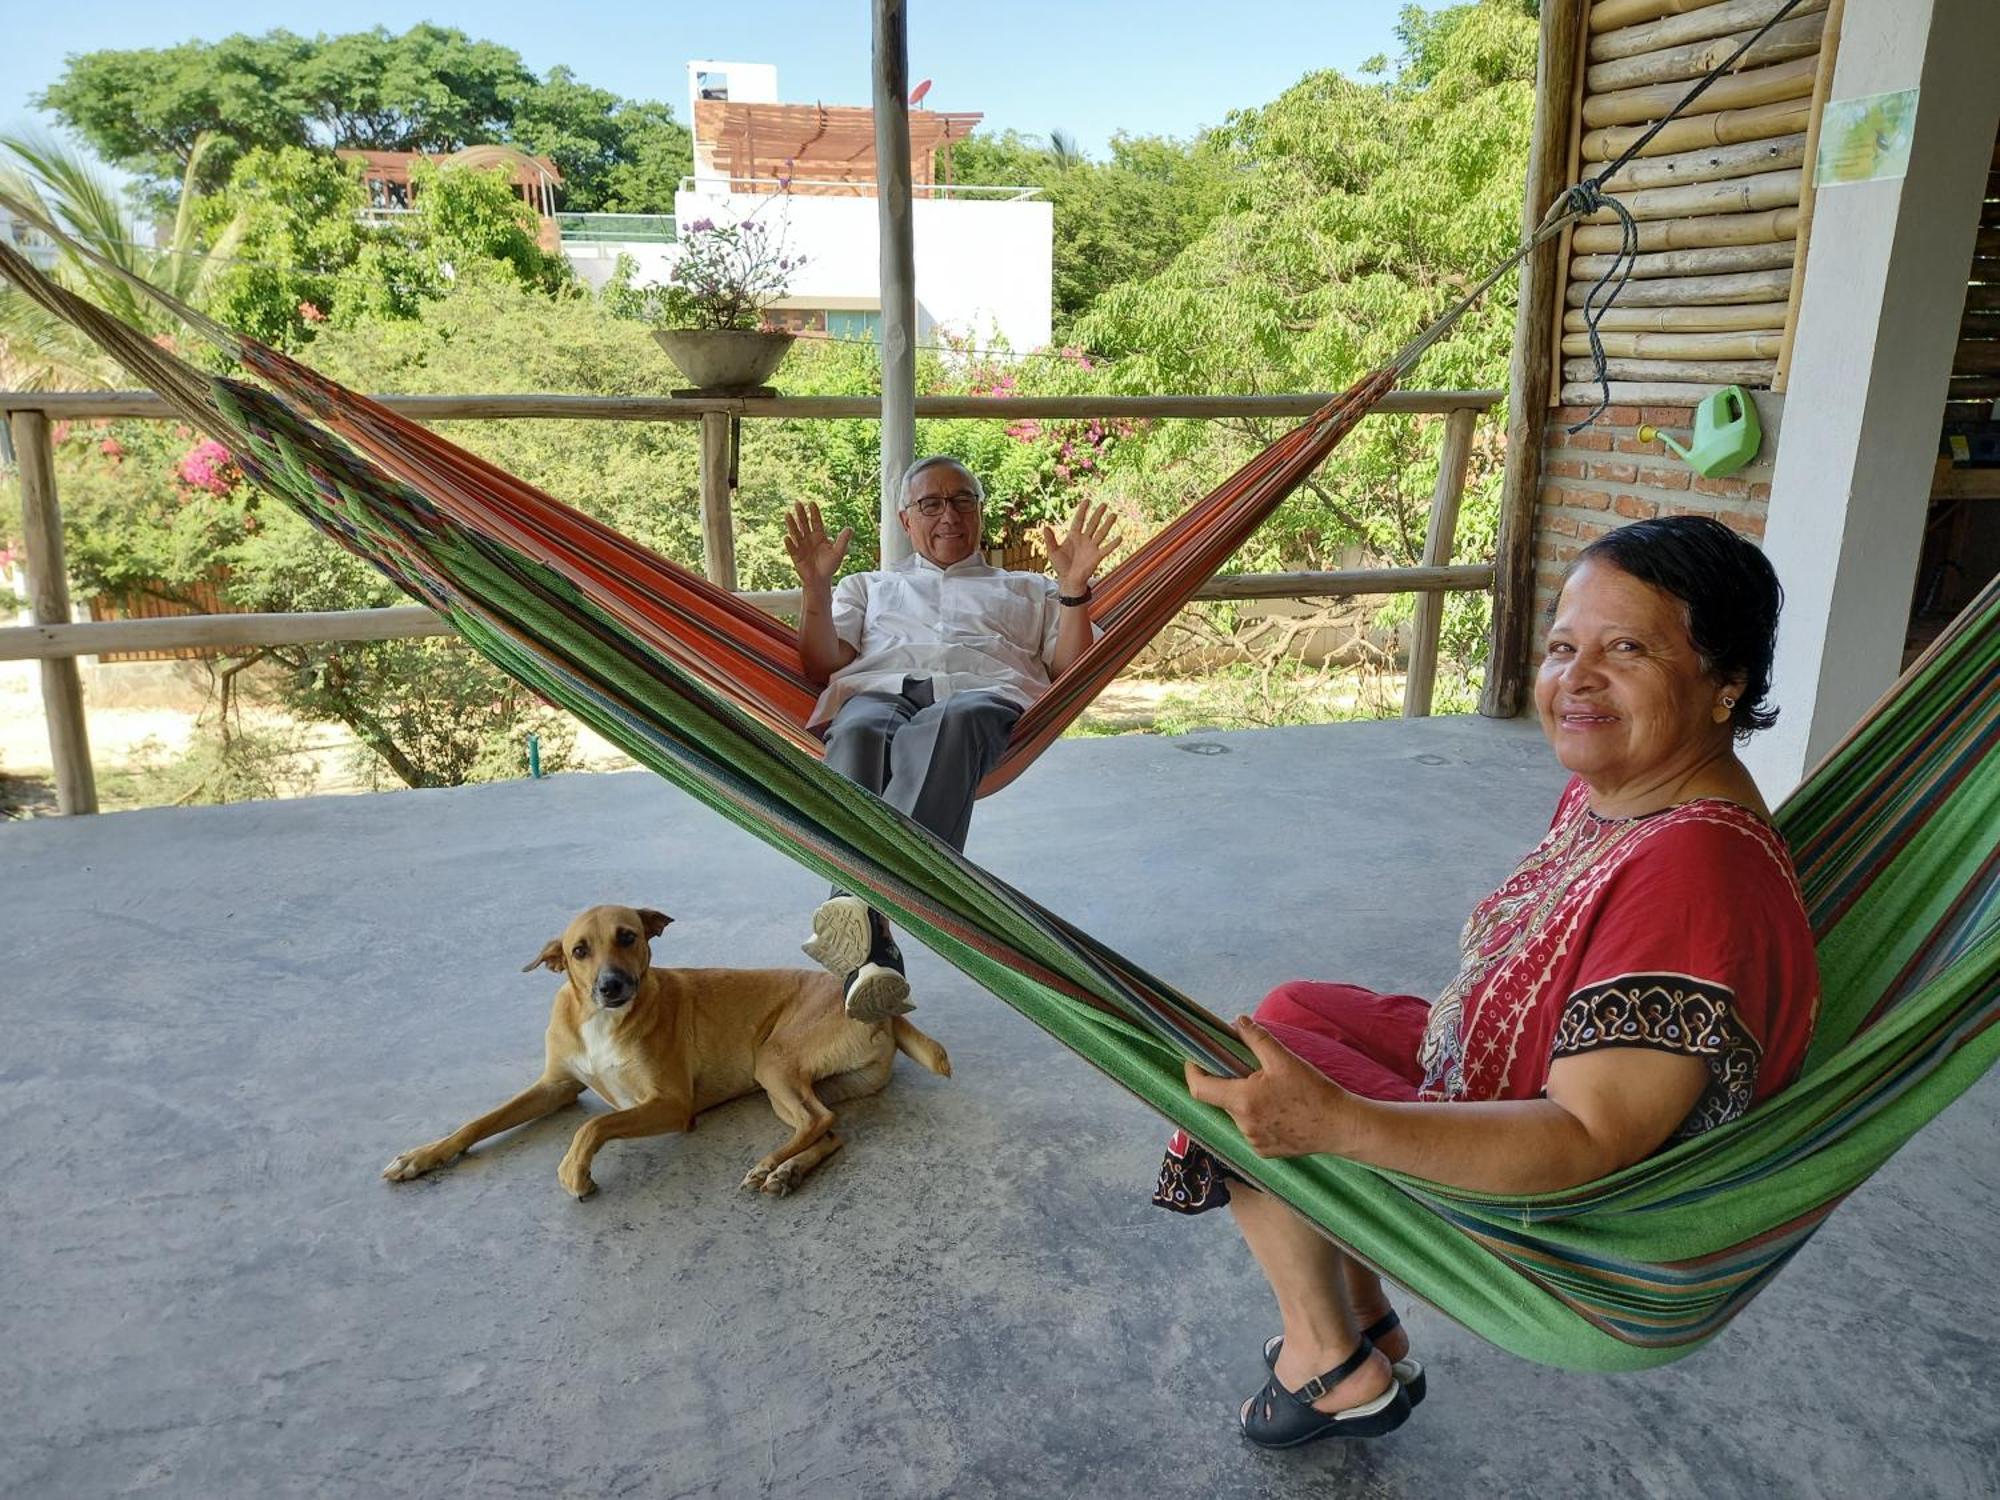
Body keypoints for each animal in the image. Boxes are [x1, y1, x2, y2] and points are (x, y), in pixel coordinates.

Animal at [392, 904, 960, 1200]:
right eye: (579, 951)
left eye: (629, 936)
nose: (612, 986)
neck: (602, 1021)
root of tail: (883, 1008)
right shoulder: (557, 1086)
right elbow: (480, 1121)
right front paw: (423, 1155)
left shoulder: (670, 1104)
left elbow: (592, 1125)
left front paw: (575, 1169)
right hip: (793, 1084)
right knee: (829, 1128)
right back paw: (789, 1171)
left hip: (772, 1062)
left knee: (818, 1122)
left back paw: (770, 1165)